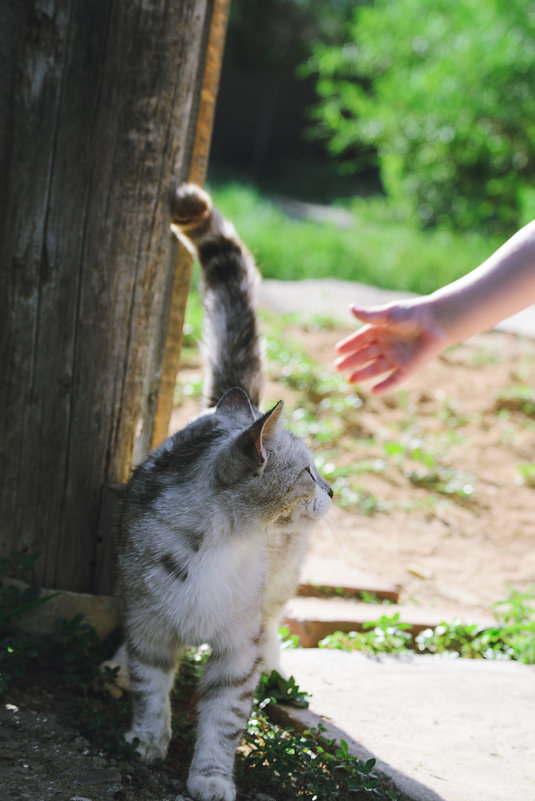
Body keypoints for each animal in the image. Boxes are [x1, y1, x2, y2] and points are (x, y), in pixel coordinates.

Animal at [115, 183, 332, 800]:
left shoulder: (237, 647)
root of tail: (236, 401)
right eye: (309, 473)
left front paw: (210, 777)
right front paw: (147, 742)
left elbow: (224, 718)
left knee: (274, 622)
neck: (219, 546)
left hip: (278, 589)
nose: (333, 490)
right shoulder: (148, 626)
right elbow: (149, 687)